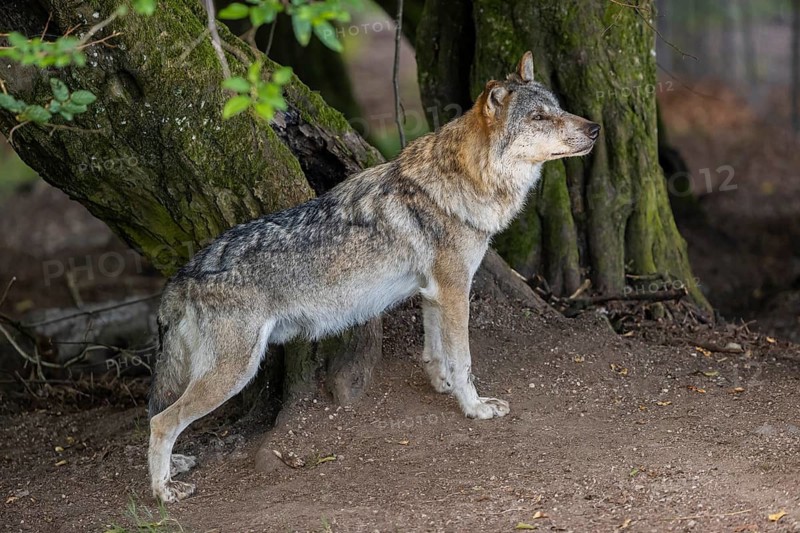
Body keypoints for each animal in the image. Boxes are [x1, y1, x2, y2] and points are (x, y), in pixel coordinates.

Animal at [147, 51, 600, 502]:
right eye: (540, 117)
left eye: (559, 108)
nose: (595, 128)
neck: (463, 180)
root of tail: (183, 274)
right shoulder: (455, 291)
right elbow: (465, 361)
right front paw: (474, 408)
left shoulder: (433, 292)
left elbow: (436, 354)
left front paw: (442, 387)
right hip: (234, 372)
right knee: (161, 421)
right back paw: (164, 491)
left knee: (163, 417)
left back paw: (177, 466)